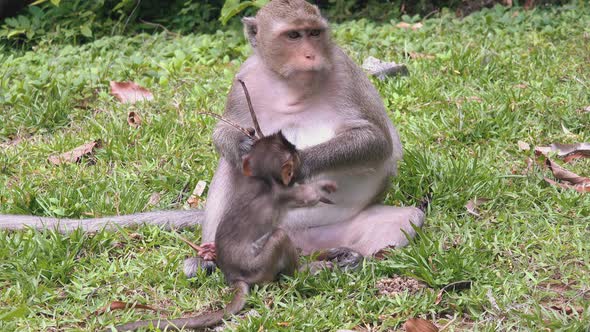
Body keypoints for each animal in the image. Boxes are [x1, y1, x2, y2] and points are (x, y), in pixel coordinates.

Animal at [114, 131, 338, 330]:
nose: (299, 158)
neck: (262, 179)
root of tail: (234, 276)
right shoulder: (284, 193)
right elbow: (307, 197)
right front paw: (323, 189)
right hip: (259, 265)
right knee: (279, 236)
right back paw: (303, 270)